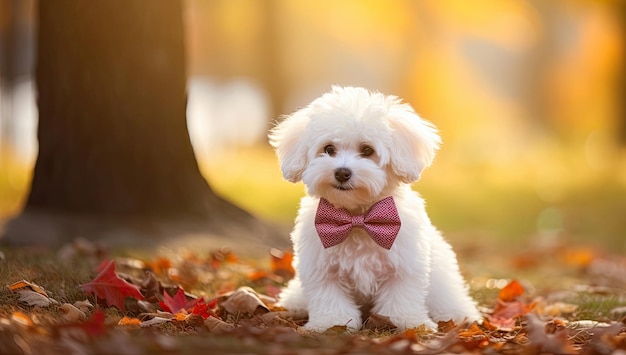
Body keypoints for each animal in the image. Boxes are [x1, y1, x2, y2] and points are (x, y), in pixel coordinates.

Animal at [268, 87, 478, 334]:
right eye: (328, 149)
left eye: (367, 150)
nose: (342, 172)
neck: (357, 217)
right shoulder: (321, 267)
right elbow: (330, 298)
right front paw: (332, 323)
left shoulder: (404, 266)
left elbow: (402, 297)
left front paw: (408, 322)